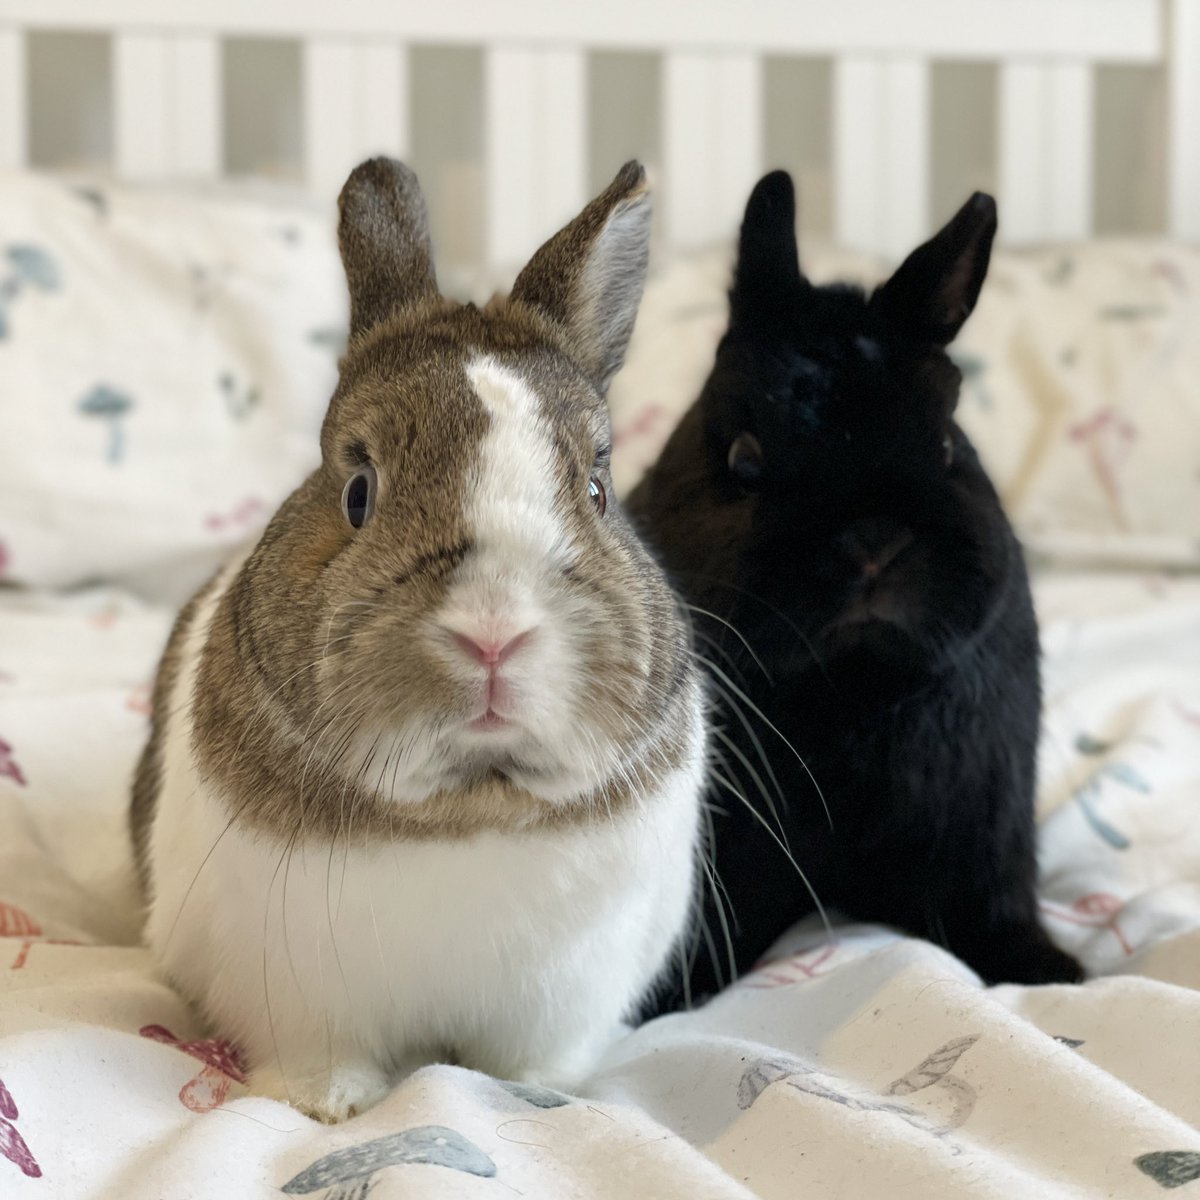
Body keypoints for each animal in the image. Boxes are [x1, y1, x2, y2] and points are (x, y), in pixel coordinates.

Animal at [130, 158, 706, 1123]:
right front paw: (329, 1110)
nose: (494, 634)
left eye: (597, 489)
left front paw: (542, 1099)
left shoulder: (569, 995)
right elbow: (319, 1059)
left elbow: (534, 1061)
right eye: (357, 492)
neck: (469, 805)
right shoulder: (295, 996)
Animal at [629, 170, 1082, 1014]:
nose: (872, 544)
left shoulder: (984, 825)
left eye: (947, 445)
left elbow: (989, 907)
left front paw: (1052, 973)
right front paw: (666, 1001)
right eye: (744, 460)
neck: (849, 685)